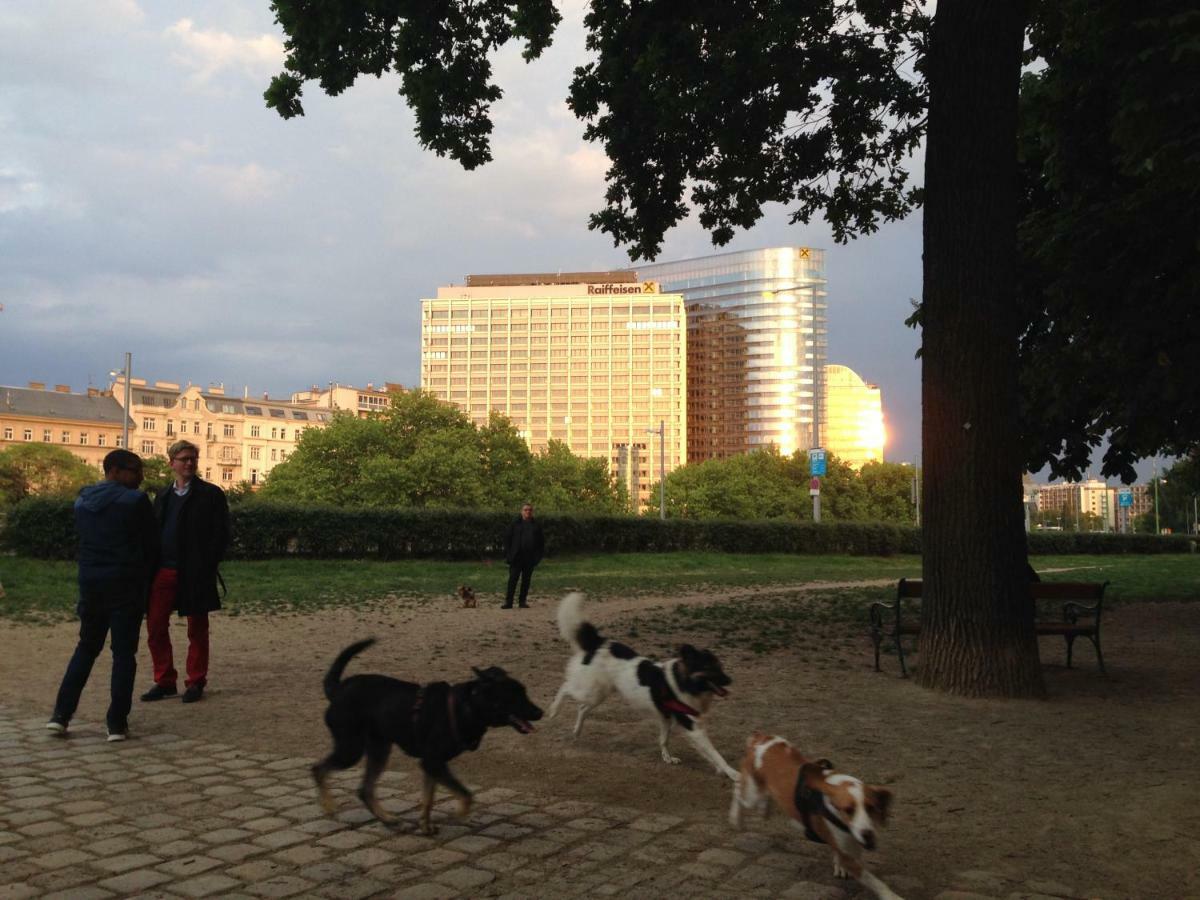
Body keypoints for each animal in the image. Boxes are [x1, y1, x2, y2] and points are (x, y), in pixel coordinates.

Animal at [312, 638, 542, 835]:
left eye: (524, 692)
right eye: (516, 696)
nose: (540, 712)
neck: (468, 706)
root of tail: (337, 689)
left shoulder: (431, 766)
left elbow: (429, 799)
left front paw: (425, 826)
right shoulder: (433, 762)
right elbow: (466, 794)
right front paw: (459, 813)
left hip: (379, 750)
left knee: (364, 790)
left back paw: (387, 818)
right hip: (351, 750)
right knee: (318, 769)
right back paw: (328, 805)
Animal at [547, 595, 734, 777]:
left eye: (720, 666)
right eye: (710, 668)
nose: (730, 680)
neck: (685, 681)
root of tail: (600, 642)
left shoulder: (666, 718)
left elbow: (664, 740)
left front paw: (668, 758)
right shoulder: (693, 728)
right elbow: (716, 754)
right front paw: (732, 773)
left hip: (599, 694)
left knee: (582, 708)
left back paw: (577, 731)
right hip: (590, 691)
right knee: (566, 688)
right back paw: (553, 711)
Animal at [729, 734, 902, 900]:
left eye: (871, 808)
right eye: (848, 810)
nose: (868, 834)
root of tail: (761, 738)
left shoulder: (851, 846)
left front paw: (838, 865)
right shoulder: (849, 857)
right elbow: (876, 882)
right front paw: (892, 896)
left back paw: (764, 809)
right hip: (751, 795)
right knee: (738, 787)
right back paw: (736, 818)